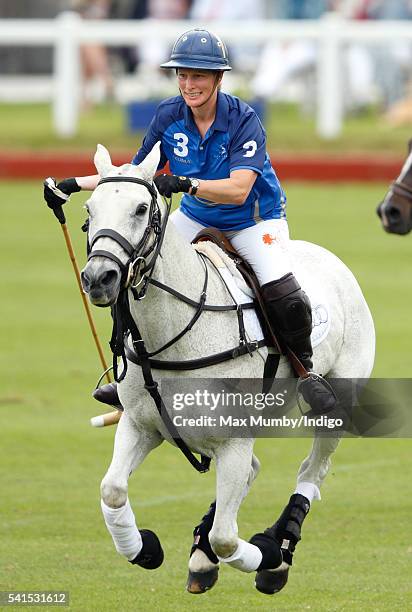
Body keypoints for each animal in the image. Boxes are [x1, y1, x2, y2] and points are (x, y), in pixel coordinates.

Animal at [80, 142, 376, 592]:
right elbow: (112, 489)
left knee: (313, 469)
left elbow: (225, 536)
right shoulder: (141, 425)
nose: (99, 278)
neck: (175, 336)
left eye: (141, 208)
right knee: (250, 476)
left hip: (337, 401)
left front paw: (267, 554)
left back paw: (279, 551)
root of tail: (329, 257)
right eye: (89, 209)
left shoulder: (234, 440)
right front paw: (145, 549)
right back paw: (203, 556)